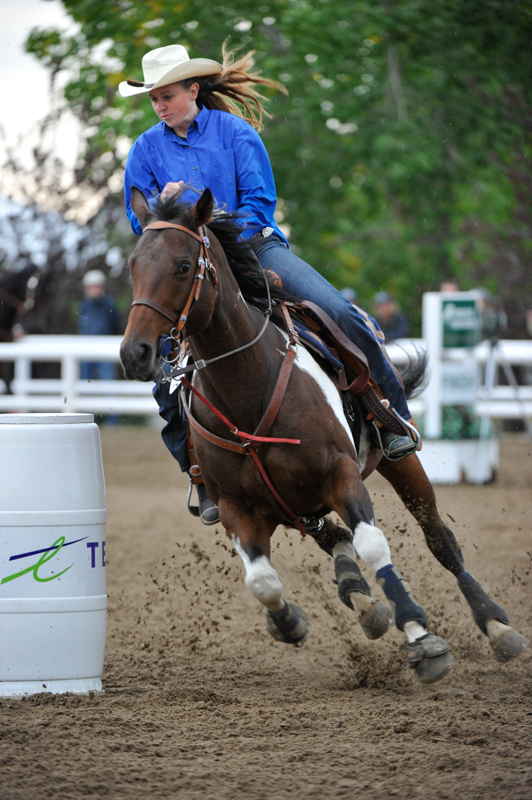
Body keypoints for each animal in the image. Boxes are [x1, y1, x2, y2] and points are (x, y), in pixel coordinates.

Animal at [120, 187, 528, 685]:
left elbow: (373, 543)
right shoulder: (237, 508)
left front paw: (419, 634)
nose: (135, 353)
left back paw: (494, 624)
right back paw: (359, 595)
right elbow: (262, 580)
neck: (249, 389)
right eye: (134, 265)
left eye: (182, 265)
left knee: (438, 540)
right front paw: (290, 621)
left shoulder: (340, 474)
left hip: (398, 464)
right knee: (334, 539)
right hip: (294, 505)